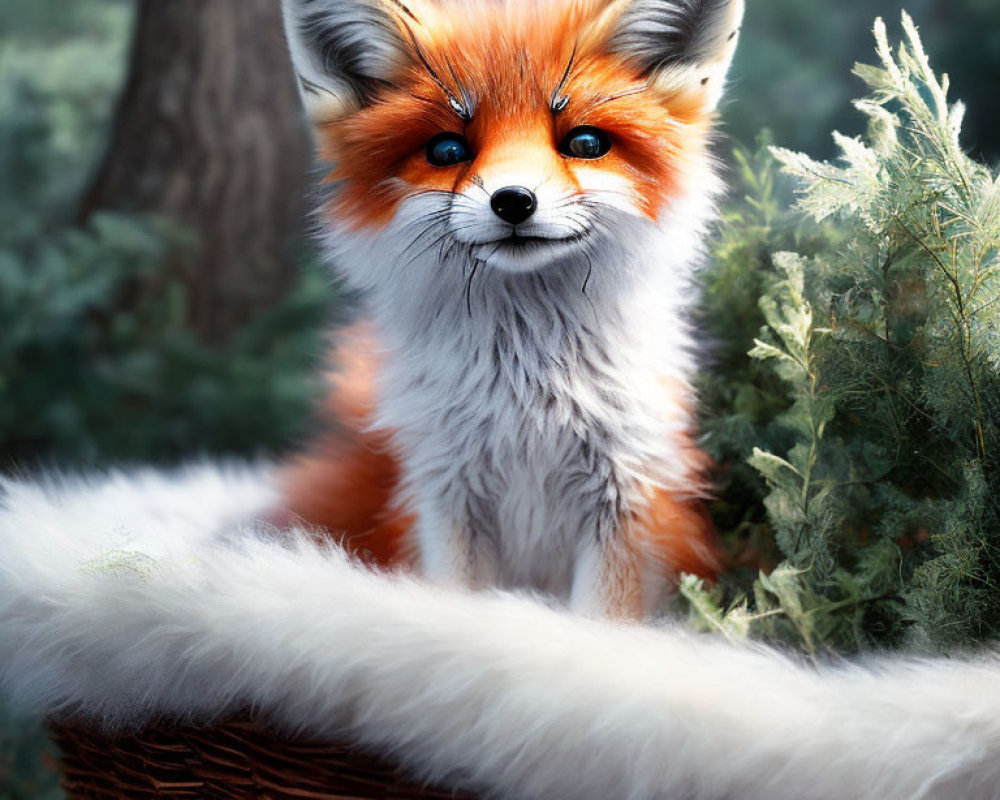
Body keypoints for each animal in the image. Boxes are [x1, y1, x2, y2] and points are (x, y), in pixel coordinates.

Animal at [278, 0, 748, 620]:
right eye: (447, 151)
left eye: (585, 143)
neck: (528, 402)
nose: (514, 201)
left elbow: (604, 622)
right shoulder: (446, 492)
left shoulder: (631, 493)